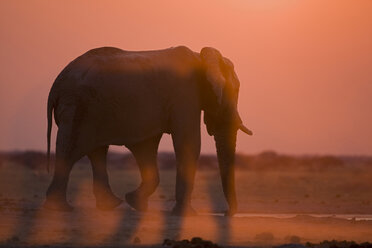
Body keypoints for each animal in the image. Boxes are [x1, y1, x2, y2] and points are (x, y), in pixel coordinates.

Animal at [44, 45, 253, 216]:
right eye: (234, 91)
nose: (226, 213)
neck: (201, 56)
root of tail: (56, 85)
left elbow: (146, 147)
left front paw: (135, 202)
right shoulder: (185, 94)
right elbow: (189, 143)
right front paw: (186, 215)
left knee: (97, 151)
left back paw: (110, 205)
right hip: (78, 106)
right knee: (70, 150)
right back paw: (60, 208)